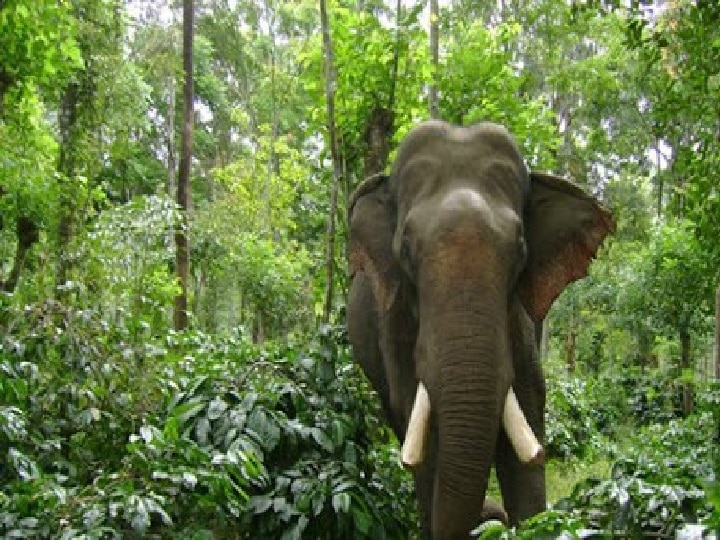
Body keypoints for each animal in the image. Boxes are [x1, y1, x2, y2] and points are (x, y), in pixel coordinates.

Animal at [346, 120, 612, 536]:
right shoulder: (395, 319)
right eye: (405, 248)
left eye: (520, 249)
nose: (490, 514)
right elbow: (422, 427)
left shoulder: (517, 318)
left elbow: (528, 410)